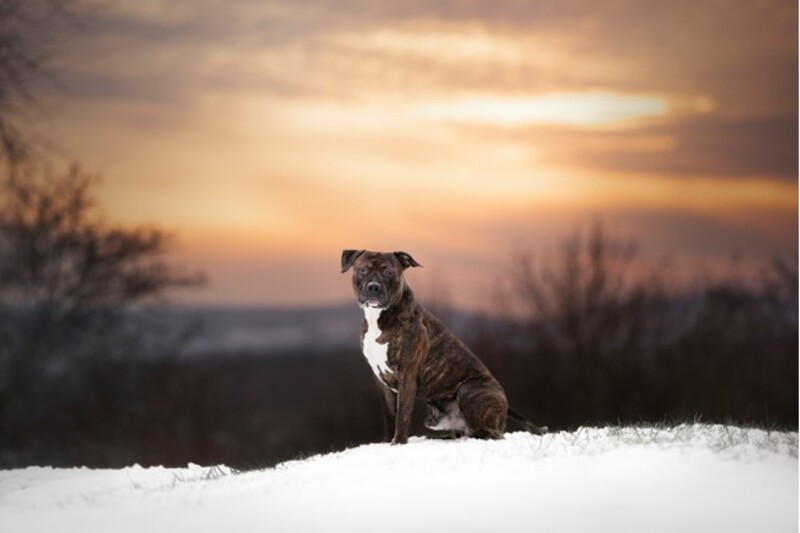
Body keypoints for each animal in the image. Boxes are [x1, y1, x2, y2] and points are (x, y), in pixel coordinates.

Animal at [340, 249, 548, 444]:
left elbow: (402, 415)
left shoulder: (407, 373)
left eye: (388, 272)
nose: (373, 287)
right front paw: (387, 442)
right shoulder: (381, 381)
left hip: (469, 390)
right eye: (362, 269)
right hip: (435, 418)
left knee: (491, 434)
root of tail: (505, 403)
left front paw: (398, 443)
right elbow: (390, 415)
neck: (378, 318)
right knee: (463, 431)